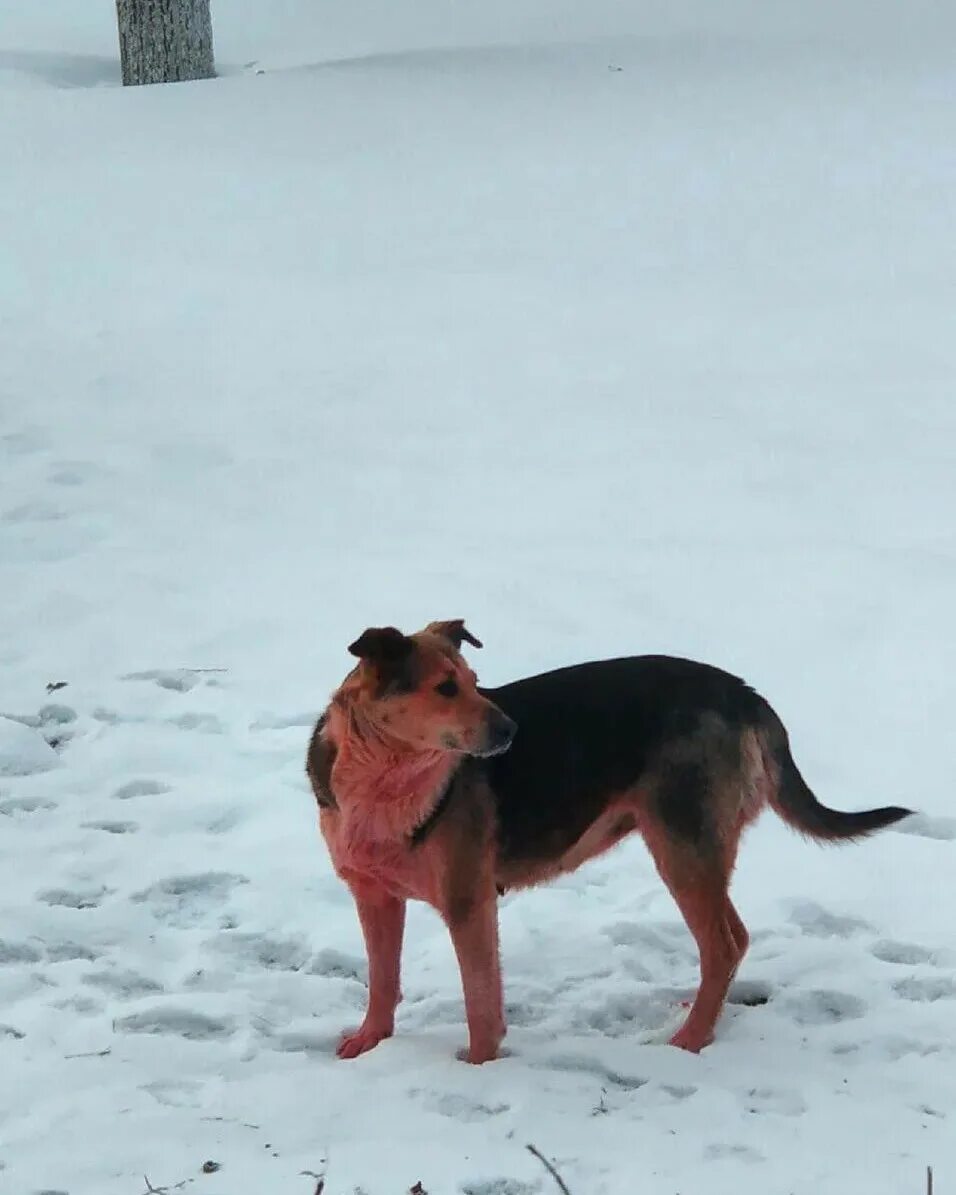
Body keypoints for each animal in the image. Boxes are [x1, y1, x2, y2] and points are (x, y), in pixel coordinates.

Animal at [308, 621, 912, 1061]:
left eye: (476, 680)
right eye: (445, 688)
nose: (511, 732)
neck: (384, 776)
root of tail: (746, 696)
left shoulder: (467, 902)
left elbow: (480, 1002)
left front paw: (479, 1067)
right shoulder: (373, 897)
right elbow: (382, 979)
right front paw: (369, 1043)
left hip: (680, 845)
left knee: (723, 942)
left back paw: (689, 1040)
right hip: (692, 849)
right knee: (731, 938)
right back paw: (699, 1013)